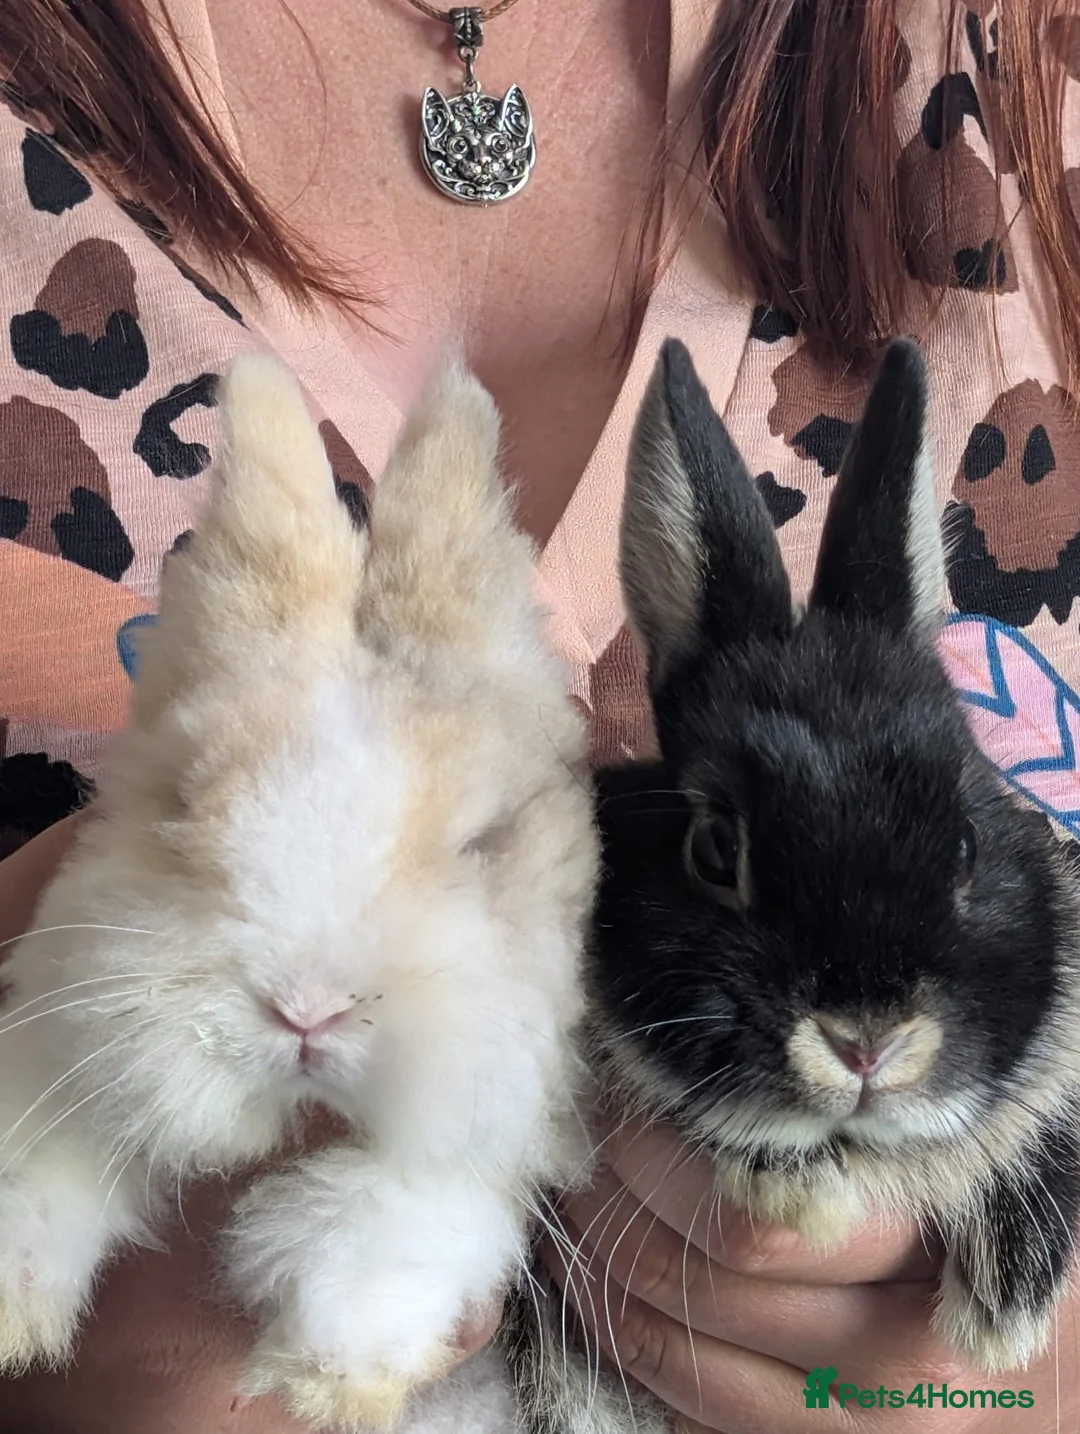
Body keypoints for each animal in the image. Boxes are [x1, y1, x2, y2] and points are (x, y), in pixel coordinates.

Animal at [0, 350, 599, 1432]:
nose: (308, 1012)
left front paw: (330, 1368)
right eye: (180, 799)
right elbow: (39, 1147)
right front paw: (13, 1316)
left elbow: (394, 1208)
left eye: (487, 840)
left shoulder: (516, 1125)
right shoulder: (71, 1021)